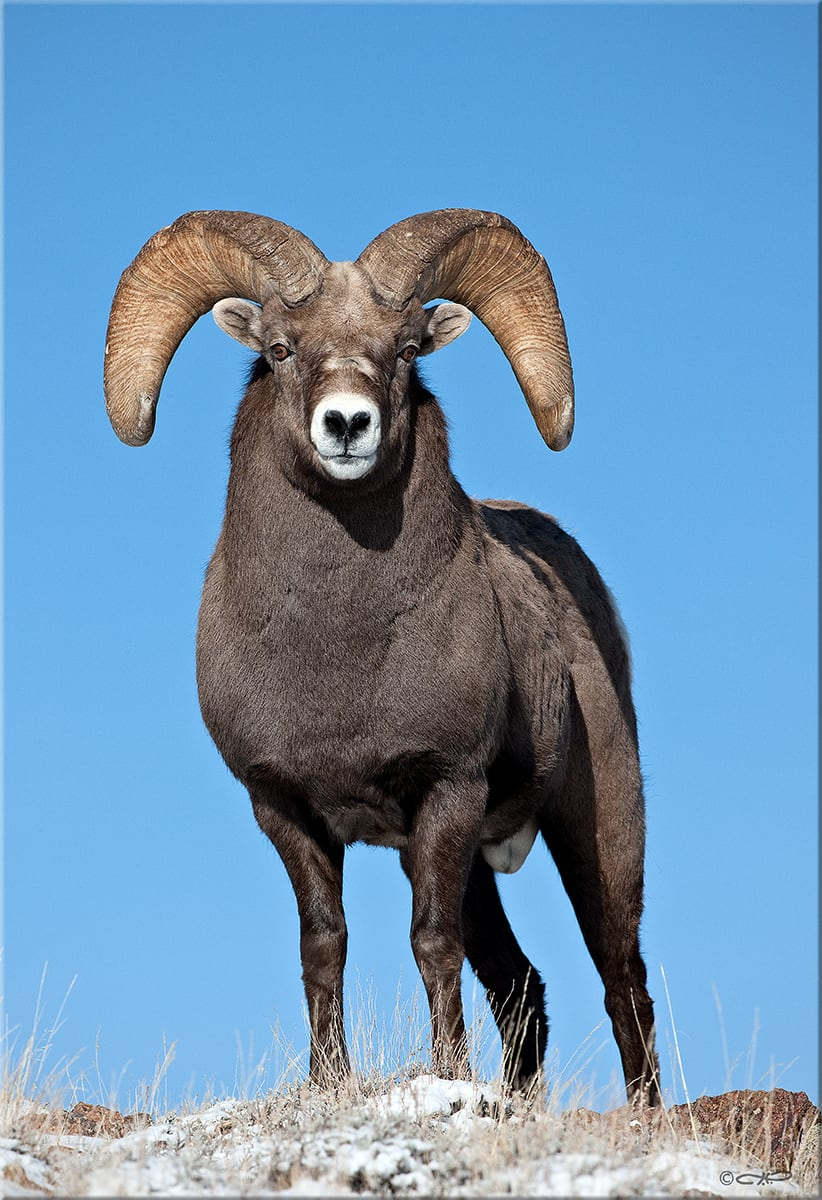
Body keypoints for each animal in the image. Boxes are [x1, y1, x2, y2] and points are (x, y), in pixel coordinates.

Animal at [103, 208, 659, 1104]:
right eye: (280, 348)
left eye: (405, 349)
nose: (346, 425)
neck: (340, 657)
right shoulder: (286, 811)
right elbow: (323, 946)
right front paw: (330, 1082)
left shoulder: (447, 792)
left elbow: (430, 944)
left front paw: (448, 1076)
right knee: (521, 986)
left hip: (598, 826)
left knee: (622, 979)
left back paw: (645, 1114)